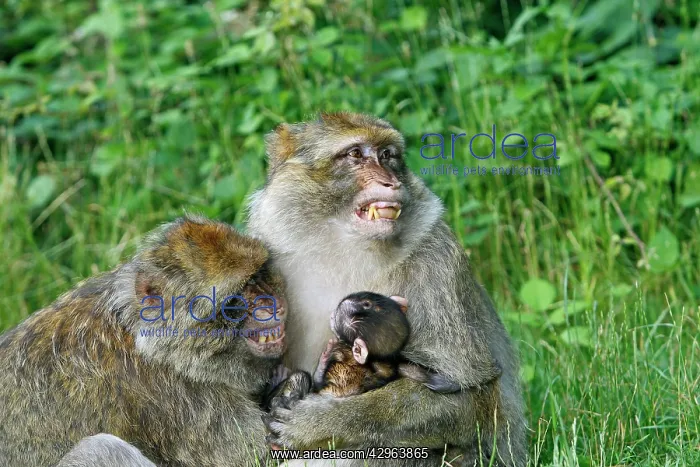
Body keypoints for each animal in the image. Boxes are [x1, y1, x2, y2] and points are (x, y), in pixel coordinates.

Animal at [0, 215, 288, 467]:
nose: (270, 302)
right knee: (99, 449)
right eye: (235, 299)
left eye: (258, 275)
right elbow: (256, 457)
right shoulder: (186, 402)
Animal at [247, 112, 527, 466]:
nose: (391, 183)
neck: (343, 250)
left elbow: (471, 398)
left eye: (387, 155)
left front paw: (316, 422)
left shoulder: (435, 262)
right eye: (355, 154)